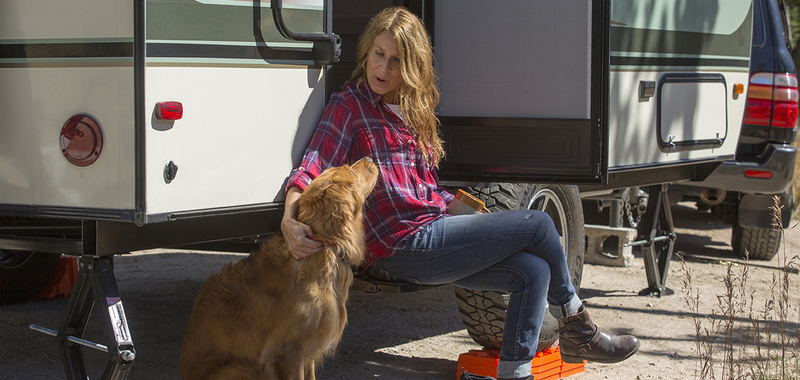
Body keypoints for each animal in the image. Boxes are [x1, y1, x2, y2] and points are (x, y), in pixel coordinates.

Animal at [180, 157, 378, 380]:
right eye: (350, 172)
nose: (369, 158)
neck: (322, 247)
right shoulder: (288, 351)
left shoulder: (307, 350)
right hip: (238, 368)